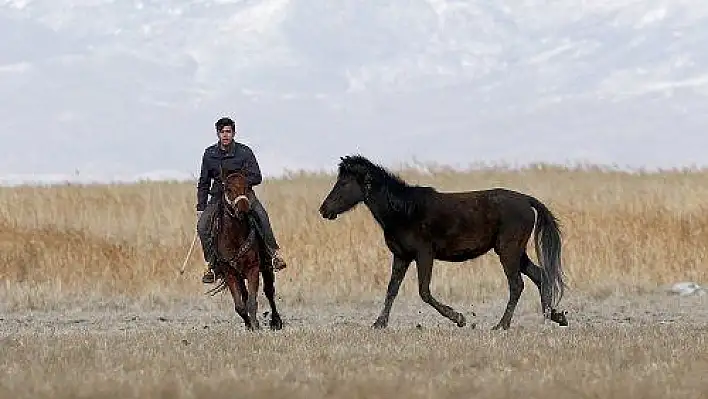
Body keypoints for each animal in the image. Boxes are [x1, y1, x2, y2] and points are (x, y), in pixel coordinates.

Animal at [207, 169, 282, 332]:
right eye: (228, 189)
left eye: (247, 186)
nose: (242, 207)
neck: (235, 237)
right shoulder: (230, 273)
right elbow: (240, 306)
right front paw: (250, 324)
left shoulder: (253, 268)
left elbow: (253, 302)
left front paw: (255, 325)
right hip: (239, 276)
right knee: (245, 295)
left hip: (266, 267)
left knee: (269, 292)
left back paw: (276, 321)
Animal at [318, 155, 568, 332]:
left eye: (344, 183)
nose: (324, 210)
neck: (403, 211)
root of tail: (527, 201)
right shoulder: (401, 256)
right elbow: (392, 289)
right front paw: (379, 323)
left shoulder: (424, 254)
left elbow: (424, 292)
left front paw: (459, 318)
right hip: (516, 252)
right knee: (540, 276)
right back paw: (554, 316)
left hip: (508, 251)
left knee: (517, 285)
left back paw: (501, 325)